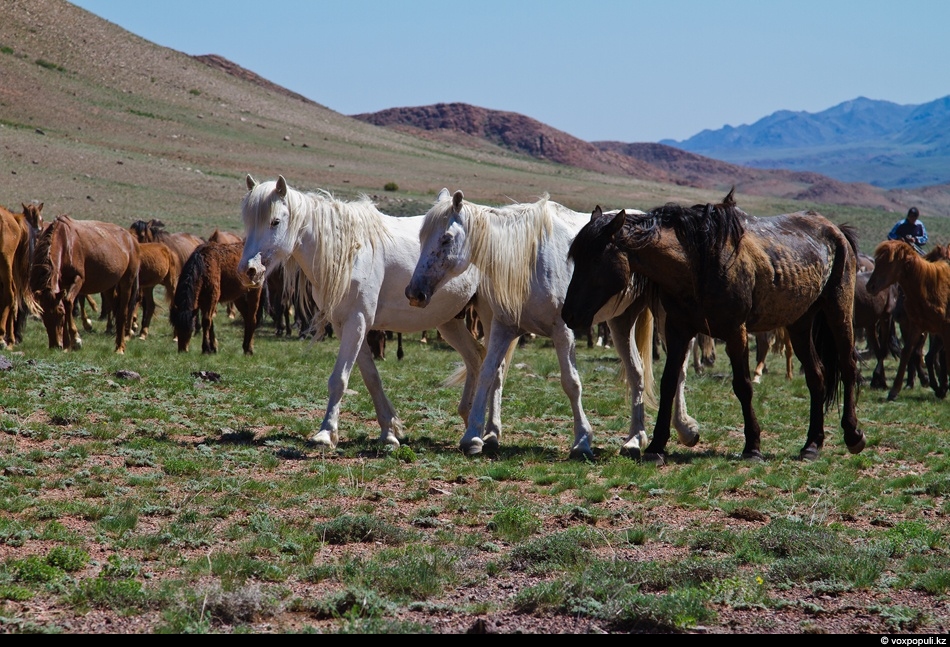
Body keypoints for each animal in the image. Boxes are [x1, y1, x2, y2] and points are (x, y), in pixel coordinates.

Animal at [29, 215, 139, 352]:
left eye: (60, 315)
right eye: (43, 317)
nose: (55, 345)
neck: (65, 243)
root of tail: (131, 239)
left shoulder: (78, 279)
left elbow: (68, 303)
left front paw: (76, 339)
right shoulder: (63, 284)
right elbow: (66, 303)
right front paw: (67, 344)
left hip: (127, 282)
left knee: (123, 311)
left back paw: (120, 347)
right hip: (109, 287)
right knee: (115, 307)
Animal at [238, 176, 494, 450]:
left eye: (275, 221)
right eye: (248, 222)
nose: (248, 271)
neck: (348, 252)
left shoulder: (357, 321)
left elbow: (339, 379)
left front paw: (326, 433)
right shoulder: (345, 325)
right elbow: (371, 377)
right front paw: (389, 431)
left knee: (495, 366)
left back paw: (489, 432)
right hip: (448, 321)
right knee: (476, 357)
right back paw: (470, 422)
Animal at [402, 190, 700, 458]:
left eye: (446, 239)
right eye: (421, 236)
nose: (414, 292)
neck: (527, 259)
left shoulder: (563, 330)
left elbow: (571, 382)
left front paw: (582, 442)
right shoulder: (503, 327)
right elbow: (488, 373)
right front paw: (473, 437)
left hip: (668, 319)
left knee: (678, 369)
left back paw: (685, 429)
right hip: (620, 321)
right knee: (637, 372)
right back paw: (634, 439)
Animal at [564, 189, 872, 466]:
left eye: (595, 259)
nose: (569, 314)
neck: (699, 264)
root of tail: (836, 231)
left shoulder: (736, 332)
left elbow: (743, 385)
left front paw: (753, 447)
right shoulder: (678, 330)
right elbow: (668, 383)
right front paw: (656, 446)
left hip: (838, 312)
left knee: (848, 366)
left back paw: (853, 435)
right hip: (799, 322)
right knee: (816, 376)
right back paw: (811, 445)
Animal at [868, 238, 950, 400]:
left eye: (889, 262)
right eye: (877, 261)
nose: (870, 286)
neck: (927, 288)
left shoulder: (943, 329)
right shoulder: (916, 327)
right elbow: (907, 352)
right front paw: (894, 390)